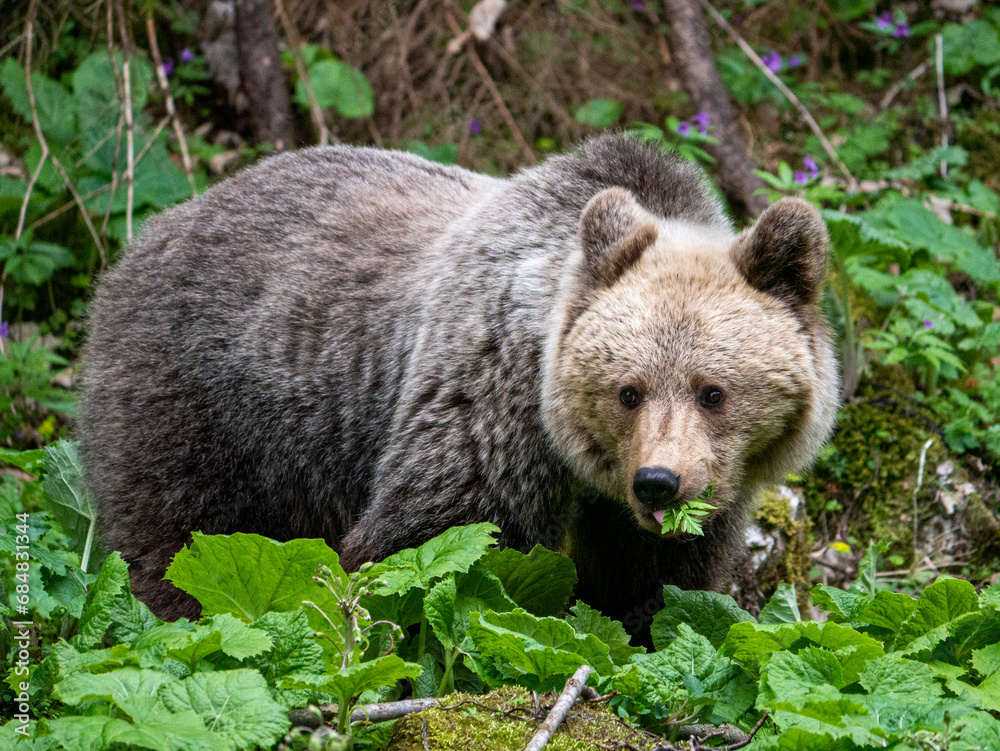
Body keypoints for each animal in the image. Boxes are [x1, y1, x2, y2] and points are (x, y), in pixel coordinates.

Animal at [78, 134, 839, 627]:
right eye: (630, 390)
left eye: (713, 390)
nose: (659, 481)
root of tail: (154, 230)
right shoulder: (490, 397)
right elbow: (436, 546)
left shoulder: (702, 491)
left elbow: (658, 579)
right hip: (205, 393)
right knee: (186, 533)